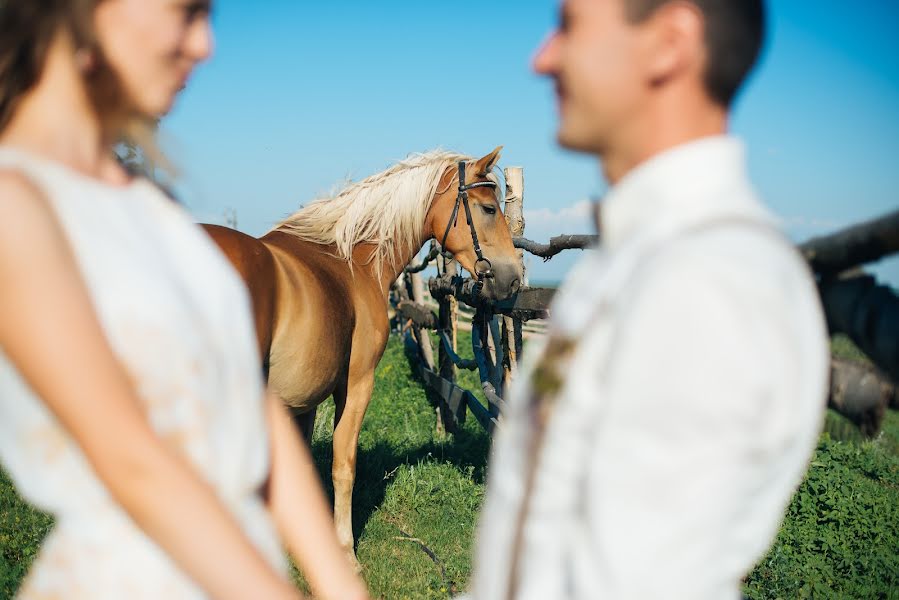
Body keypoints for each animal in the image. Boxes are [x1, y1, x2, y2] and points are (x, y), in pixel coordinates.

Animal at [203, 148, 520, 564]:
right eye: (487, 208)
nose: (514, 278)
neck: (352, 260)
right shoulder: (356, 384)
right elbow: (343, 464)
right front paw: (343, 551)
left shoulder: (304, 401)